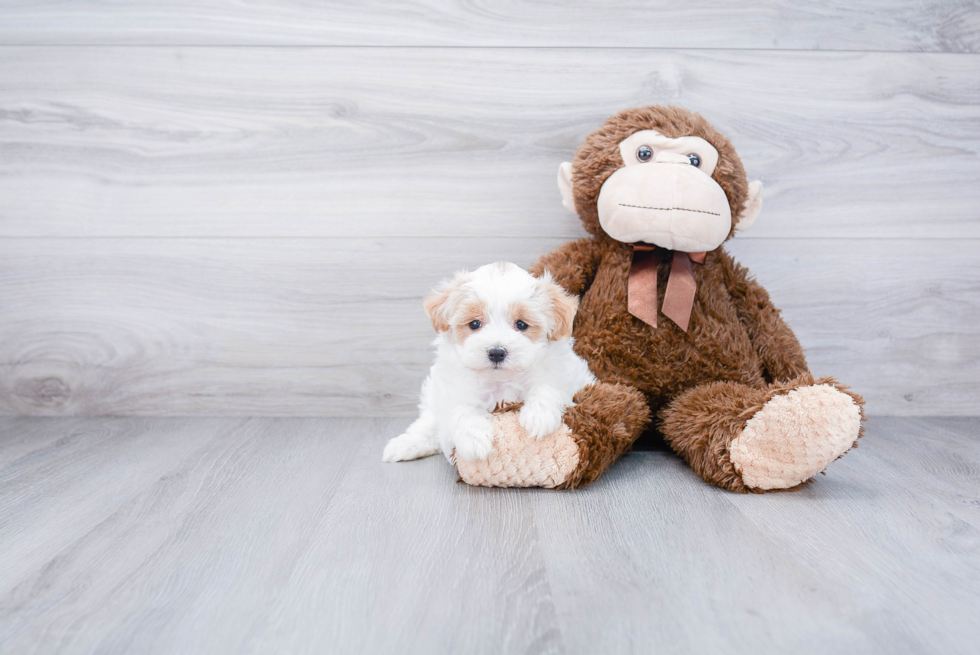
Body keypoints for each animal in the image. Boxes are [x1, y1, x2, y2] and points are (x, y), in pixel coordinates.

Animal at [382, 258, 596, 464]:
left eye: (521, 324)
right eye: (475, 324)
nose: (496, 352)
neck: (500, 380)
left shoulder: (569, 376)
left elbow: (549, 386)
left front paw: (539, 415)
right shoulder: (452, 391)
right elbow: (461, 409)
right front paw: (474, 439)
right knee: (427, 425)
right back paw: (404, 445)